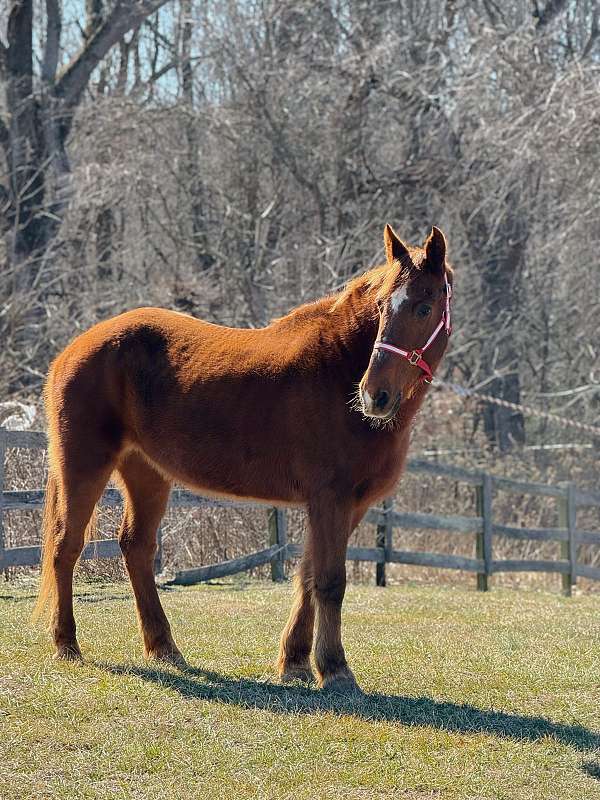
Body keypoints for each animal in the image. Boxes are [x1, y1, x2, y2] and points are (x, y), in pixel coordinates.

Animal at [32, 222, 452, 692]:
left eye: (424, 306)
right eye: (381, 306)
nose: (373, 395)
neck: (336, 368)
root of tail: (72, 349)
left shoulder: (347, 506)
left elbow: (307, 576)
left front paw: (296, 662)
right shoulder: (332, 500)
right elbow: (329, 581)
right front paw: (335, 669)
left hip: (146, 474)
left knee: (136, 546)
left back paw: (164, 647)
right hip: (84, 465)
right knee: (66, 546)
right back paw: (67, 644)